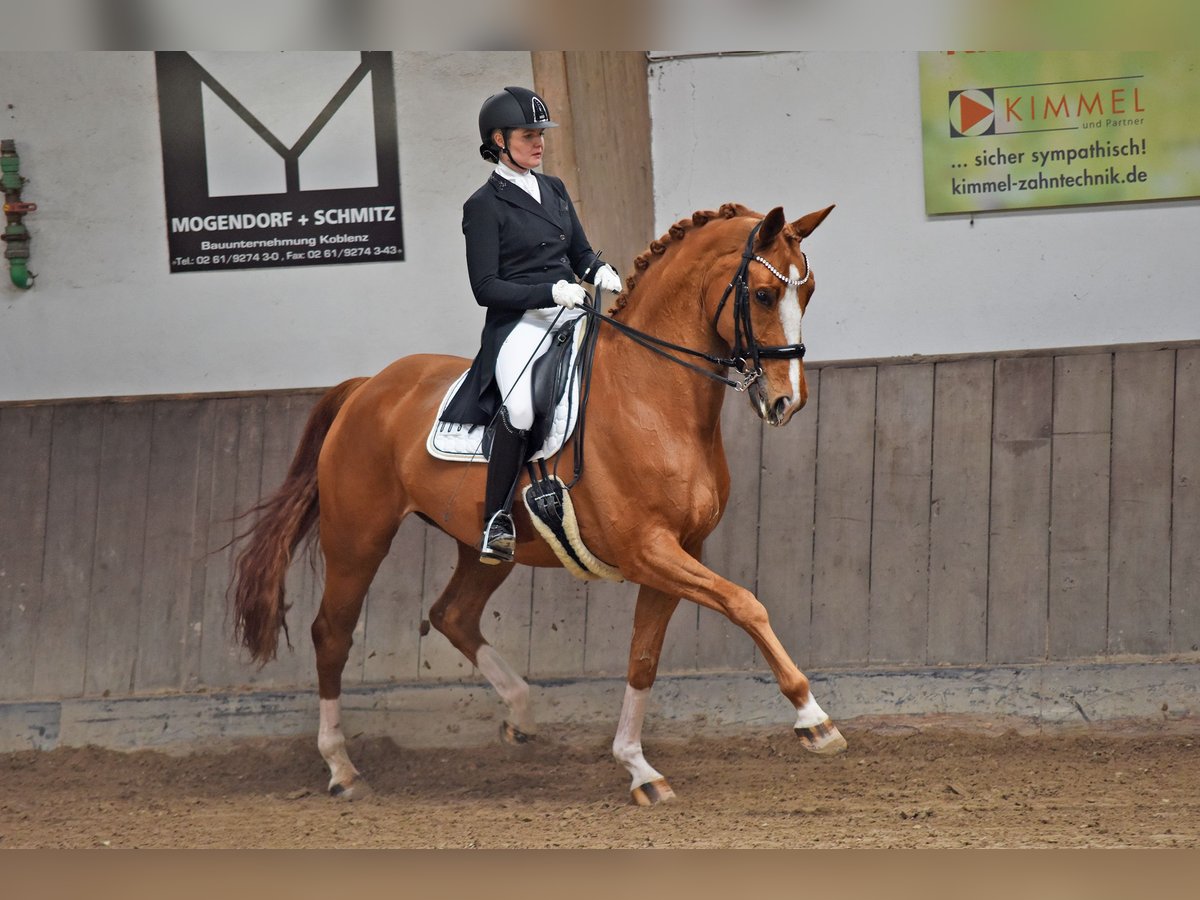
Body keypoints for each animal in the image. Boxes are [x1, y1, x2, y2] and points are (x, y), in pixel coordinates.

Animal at [229, 200, 840, 806]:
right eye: (763, 295)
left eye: (808, 293)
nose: (787, 400)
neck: (652, 397)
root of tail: (368, 386)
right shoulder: (649, 551)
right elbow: (745, 604)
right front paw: (814, 718)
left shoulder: (678, 552)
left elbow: (644, 658)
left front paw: (638, 767)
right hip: (358, 541)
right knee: (331, 634)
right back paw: (341, 768)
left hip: (486, 545)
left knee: (451, 615)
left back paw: (521, 715)